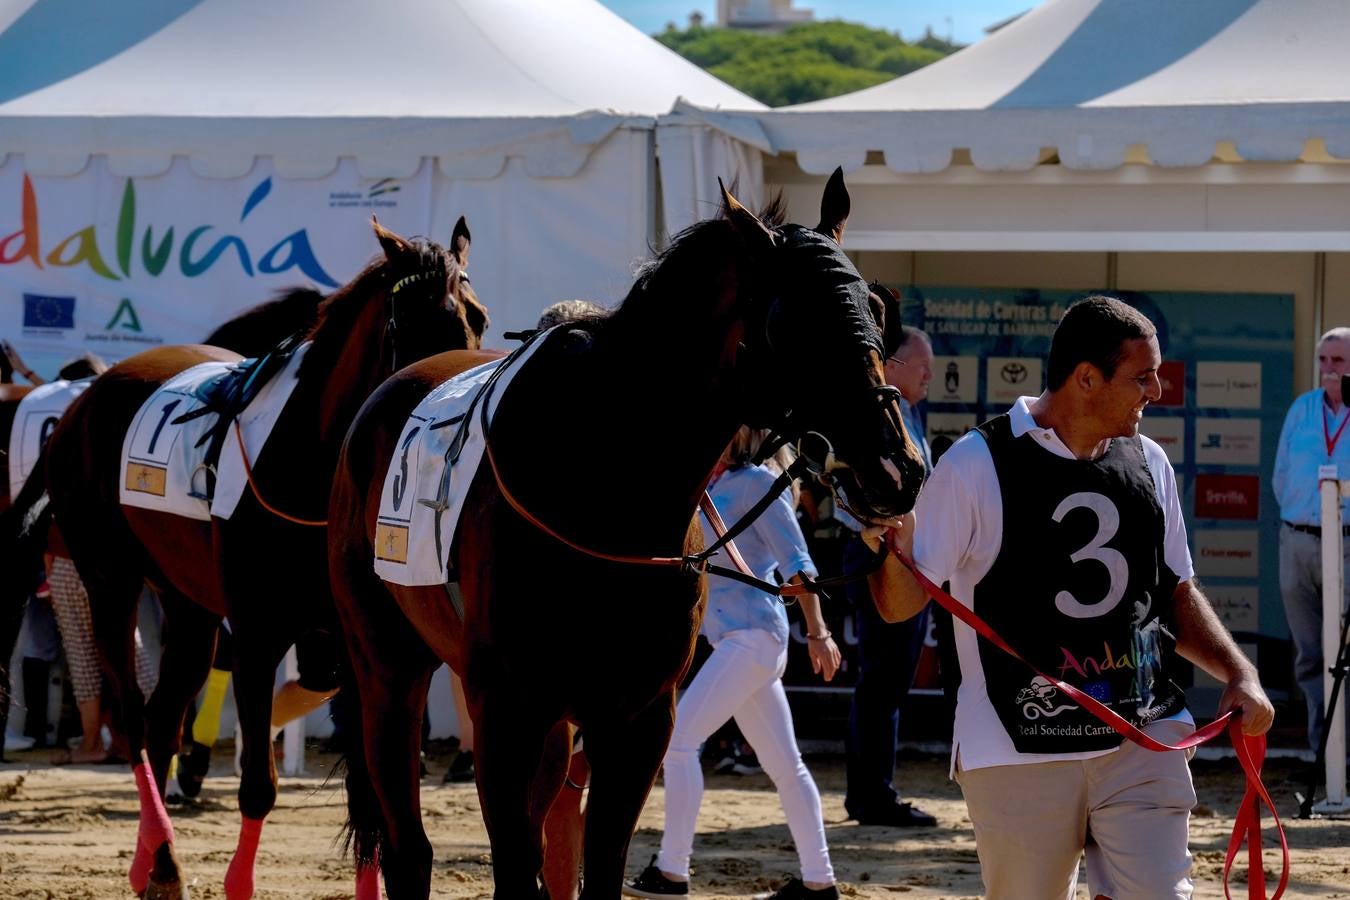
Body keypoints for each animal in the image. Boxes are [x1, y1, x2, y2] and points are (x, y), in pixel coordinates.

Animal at [2, 219, 488, 900]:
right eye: (403, 324)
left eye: (478, 316)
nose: (449, 384)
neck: (311, 463)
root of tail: (81, 398)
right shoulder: (261, 631)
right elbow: (259, 784)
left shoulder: (349, 641)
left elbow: (367, 793)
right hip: (108, 577)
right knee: (132, 714)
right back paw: (161, 855)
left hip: (186, 602)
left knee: (162, 715)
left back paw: (156, 862)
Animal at [326, 172, 928, 895]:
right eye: (792, 321)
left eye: (873, 306)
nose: (896, 467)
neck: (606, 475)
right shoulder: (504, 708)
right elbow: (513, 865)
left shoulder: (637, 717)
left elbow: (599, 863)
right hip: (388, 668)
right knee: (408, 848)